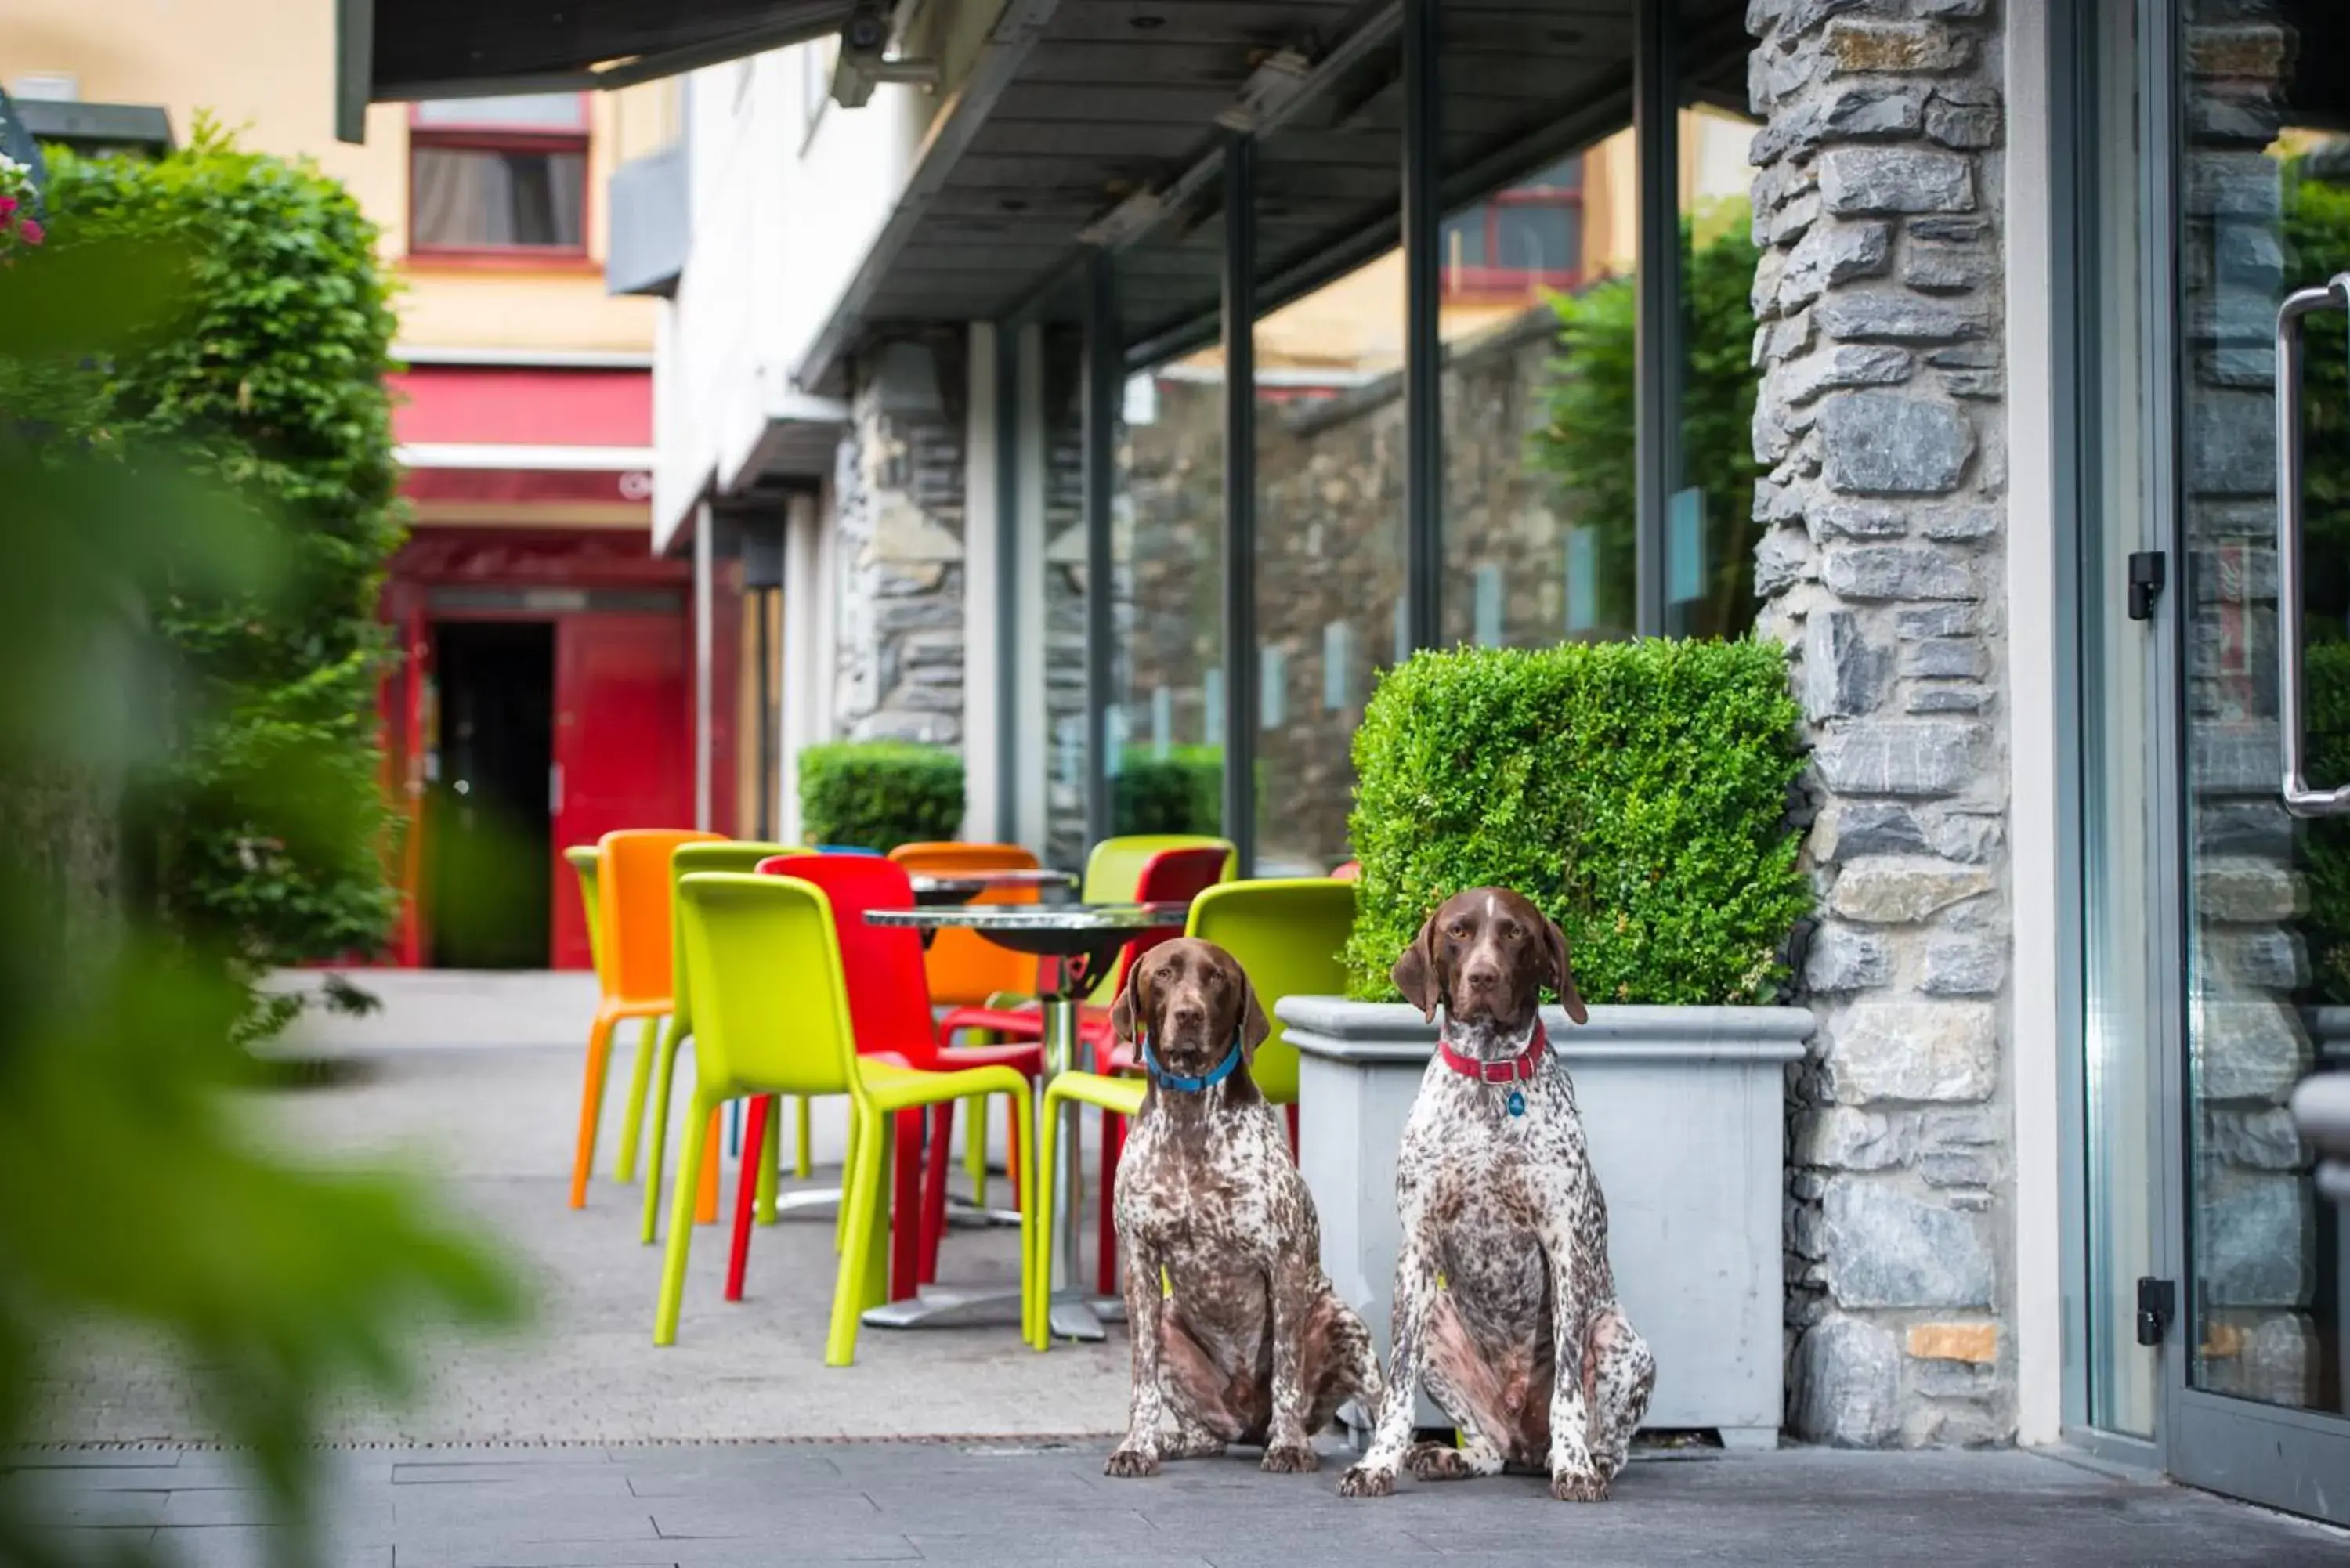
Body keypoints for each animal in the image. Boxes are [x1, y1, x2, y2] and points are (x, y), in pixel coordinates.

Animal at [1344, 888, 1654, 1504]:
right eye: (1459, 931)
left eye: (1515, 934)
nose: (1483, 976)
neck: (1489, 1075)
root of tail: (1524, 1440)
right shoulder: (1417, 1248)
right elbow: (1395, 1390)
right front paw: (1378, 1464)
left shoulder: (1564, 1248)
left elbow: (1568, 1391)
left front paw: (1576, 1469)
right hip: (1438, 1322)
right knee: (1489, 1450)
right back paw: (1454, 1458)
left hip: (1618, 1339)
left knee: (1611, 1443)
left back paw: (1583, 1460)